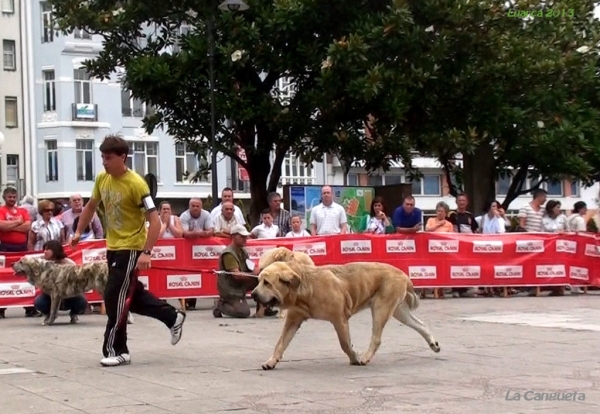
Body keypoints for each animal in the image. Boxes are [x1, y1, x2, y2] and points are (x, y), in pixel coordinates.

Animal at [251, 258, 438, 368]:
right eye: (259, 281)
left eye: (267, 283)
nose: (253, 294)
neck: (305, 286)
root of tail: (403, 274)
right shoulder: (293, 319)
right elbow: (281, 343)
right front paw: (271, 361)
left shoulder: (339, 319)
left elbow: (345, 343)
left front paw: (354, 357)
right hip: (399, 311)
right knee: (421, 325)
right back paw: (433, 343)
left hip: (381, 307)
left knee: (376, 338)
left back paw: (365, 358)